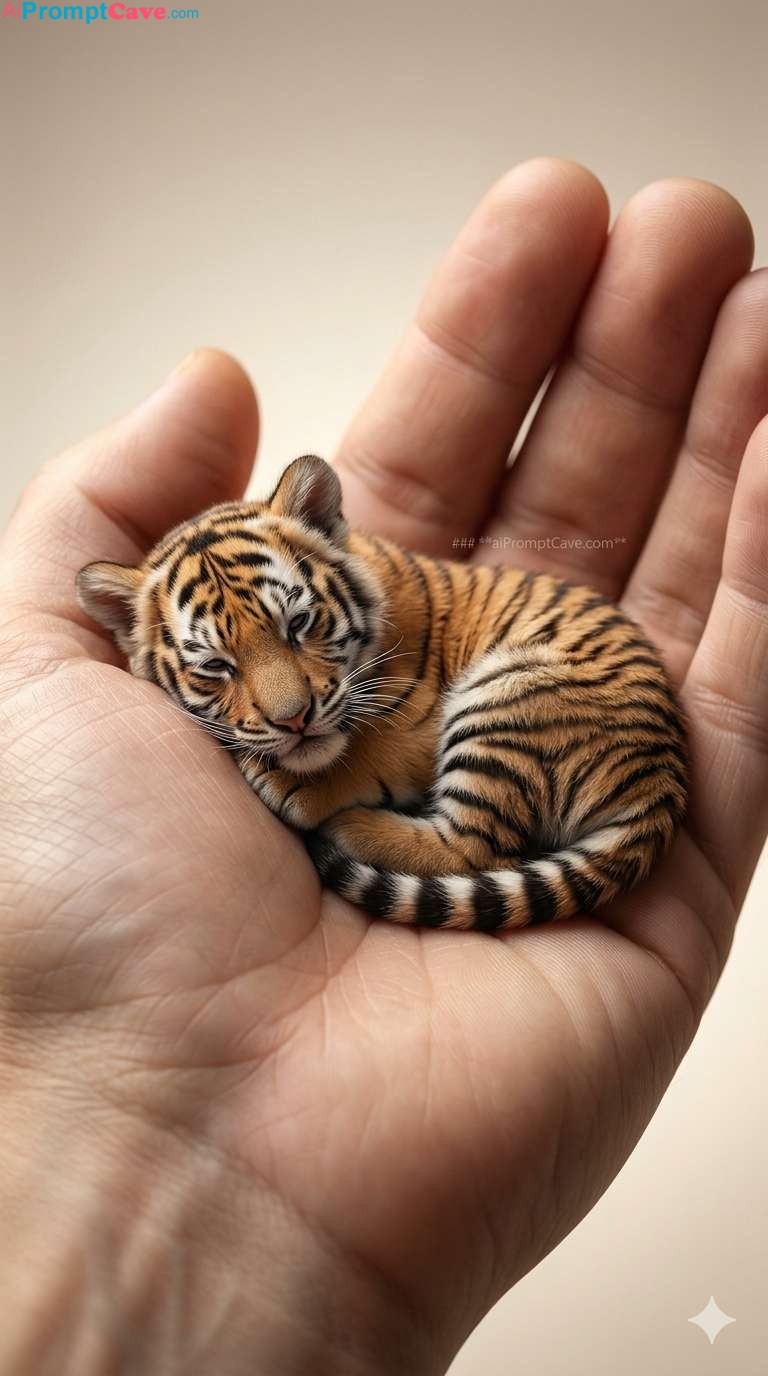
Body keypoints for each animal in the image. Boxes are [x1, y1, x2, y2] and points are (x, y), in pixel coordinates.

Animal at [76, 454, 687, 931]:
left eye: (299, 624)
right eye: (215, 666)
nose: (293, 720)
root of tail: (663, 786)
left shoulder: (423, 714)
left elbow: (369, 751)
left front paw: (297, 785)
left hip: (509, 697)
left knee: (472, 846)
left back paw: (345, 829)